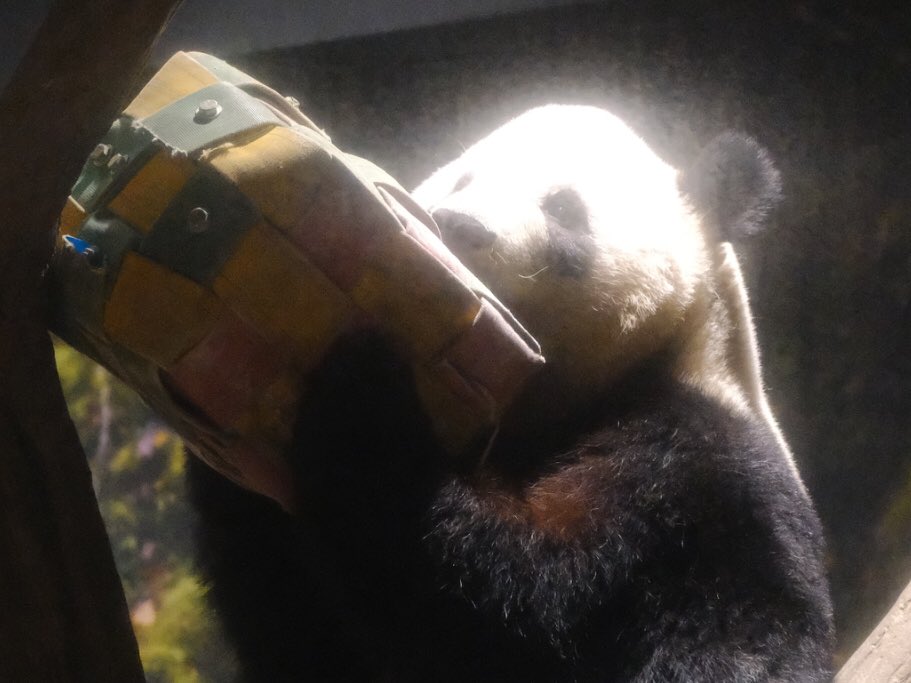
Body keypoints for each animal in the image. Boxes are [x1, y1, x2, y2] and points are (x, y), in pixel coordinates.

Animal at [187, 105, 835, 682]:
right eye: (462, 179)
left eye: (564, 206)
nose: (458, 225)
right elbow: (298, 635)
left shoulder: (688, 464)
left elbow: (526, 605)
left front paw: (364, 391)